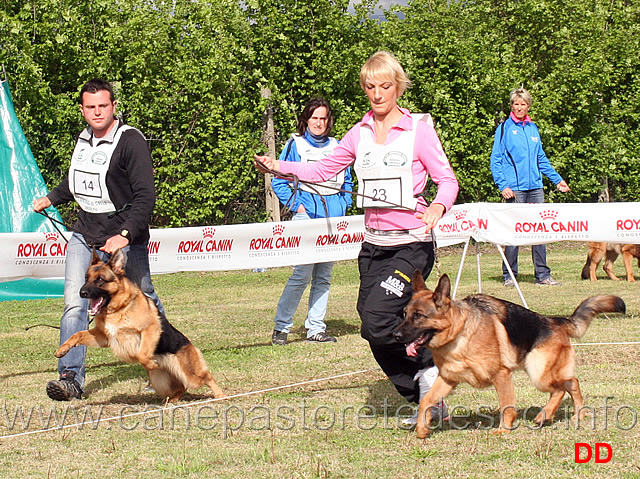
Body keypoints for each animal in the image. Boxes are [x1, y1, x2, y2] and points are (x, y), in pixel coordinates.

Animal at [54, 249, 225, 404]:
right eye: (86, 278)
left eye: (100, 280)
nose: (81, 292)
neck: (119, 308)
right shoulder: (103, 337)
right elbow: (77, 334)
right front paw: (63, 349)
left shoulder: (150, 328)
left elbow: (142, 354)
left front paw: (150, 362)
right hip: (160, 382)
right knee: (181, 388)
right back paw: (171, 401)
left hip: (191, 375)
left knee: (207, 377)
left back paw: (220, 395)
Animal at [396, 272, 624, 440]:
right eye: (405, 314)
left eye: (419, 316)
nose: (395, 335)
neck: (459, 334)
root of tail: (556, 321)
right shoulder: (447, 379)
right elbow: (426, 401)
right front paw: (422, 428)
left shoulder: (501, 375)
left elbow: (507, 405)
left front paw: (504, 429)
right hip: (542, 374)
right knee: (566, 385)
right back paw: (560, 414)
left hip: (539, 374)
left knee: (568, 385)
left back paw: (562, 414)